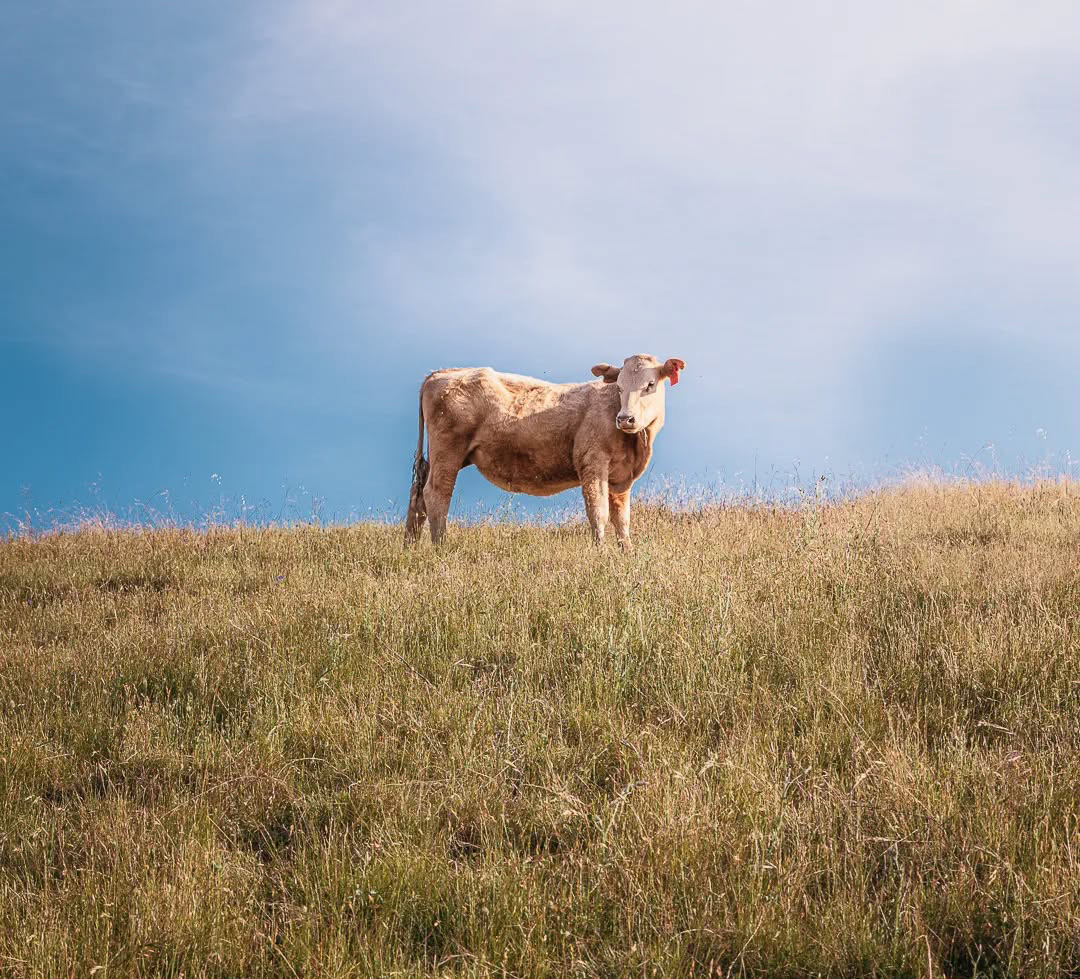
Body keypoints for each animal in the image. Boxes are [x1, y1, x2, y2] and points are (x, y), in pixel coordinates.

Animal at [404, 354, 685, 548]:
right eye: (619, 386)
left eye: (650, 384)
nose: (625, 418)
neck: (637, 445)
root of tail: (440, 373)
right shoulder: (592, 462)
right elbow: (599, 513)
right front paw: (601, 553)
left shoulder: (621, 477)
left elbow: (622, 519)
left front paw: (626, 553)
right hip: (447, 451)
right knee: (436, 494)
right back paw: (440, 547)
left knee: (418, 496)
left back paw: (411, 548)